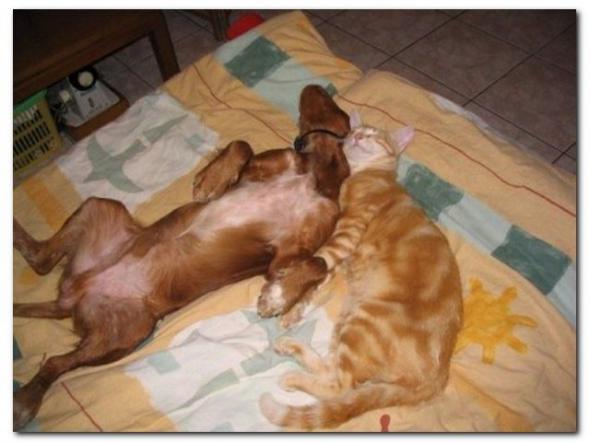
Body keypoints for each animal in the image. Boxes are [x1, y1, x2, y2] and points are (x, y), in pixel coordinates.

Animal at [13, 85, 350, 429]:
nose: (312, 86)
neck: (312, 174)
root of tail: (73, 293)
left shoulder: (283, 257)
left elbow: (317, 263)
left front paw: (277, 296)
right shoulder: (267, 173)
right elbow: (242, 145)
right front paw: (211, 181)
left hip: (127, 328)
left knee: (53, 352)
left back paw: (24, 401)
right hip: (103, 212)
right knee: (42, 267)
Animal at [259, 112, 463, 430]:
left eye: (373, 134)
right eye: (354, 131)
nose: (356, 136)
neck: (366, 174)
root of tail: (438, 379)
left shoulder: (346, 232)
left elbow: (318, 260)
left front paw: (278, 295)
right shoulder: (340, 259)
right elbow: (317, 285)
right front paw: (293, 311)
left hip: (363, 323)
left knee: (340, 385)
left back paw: (291, 377)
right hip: (349, 318)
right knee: (334, 372)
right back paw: (291, 348)